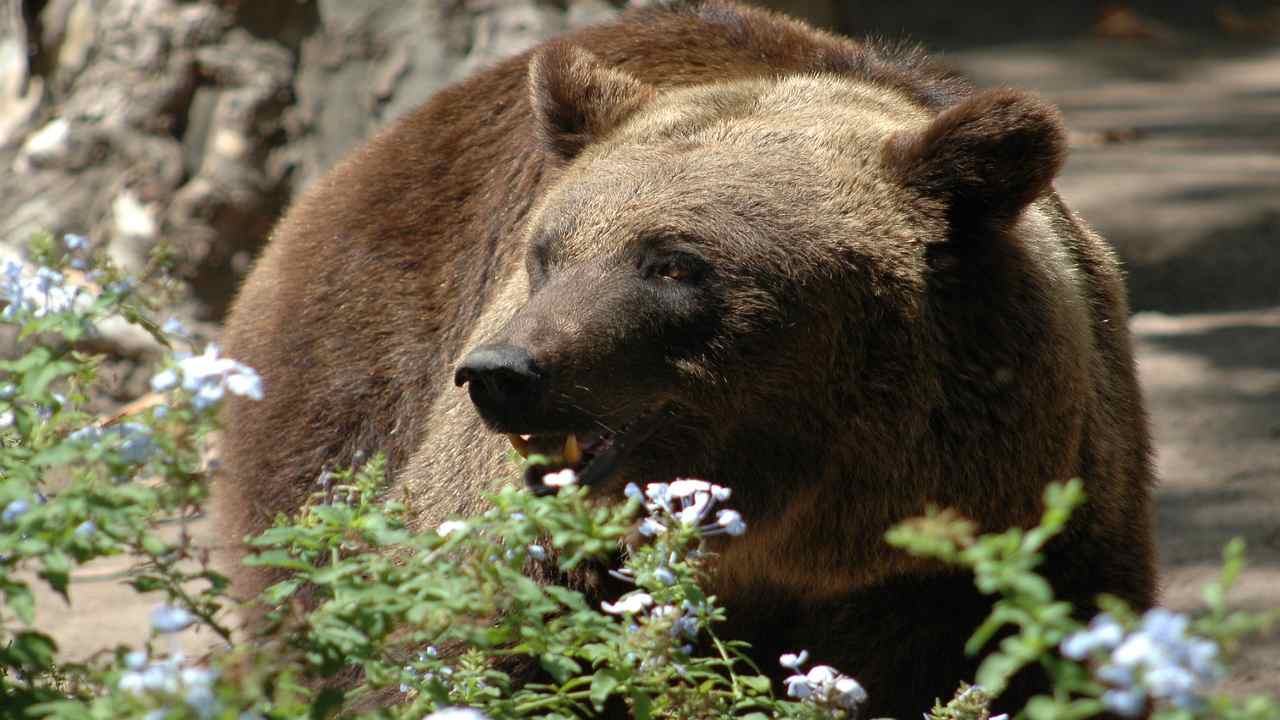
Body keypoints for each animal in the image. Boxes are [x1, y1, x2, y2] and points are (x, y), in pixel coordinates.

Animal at [220, 1, 1162, 712]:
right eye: (547, 252)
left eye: (673, 263)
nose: (503, 374)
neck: (806, 530)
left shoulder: (1016, 543)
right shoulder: (529, 553)